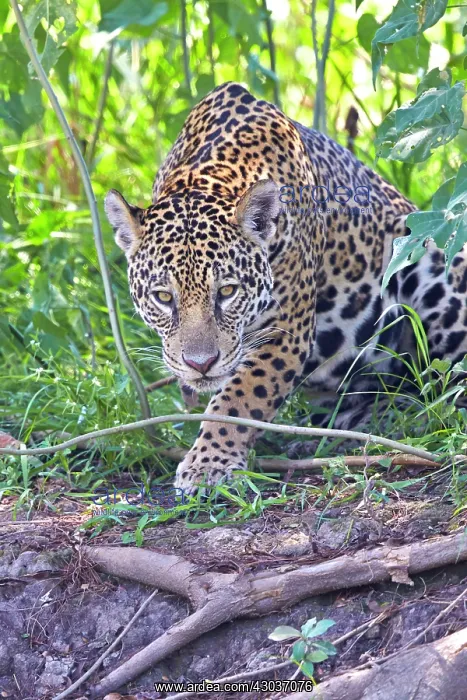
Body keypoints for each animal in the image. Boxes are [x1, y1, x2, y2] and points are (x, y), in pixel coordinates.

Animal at [105, 82, 467, 495]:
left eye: (227, 292)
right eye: (164, 298)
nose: (201, 364)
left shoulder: (285, 331)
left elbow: (241, 398)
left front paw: (208, 463)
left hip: (427, 259)